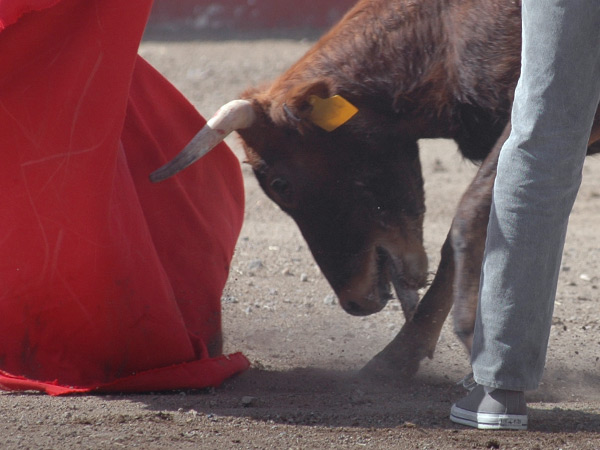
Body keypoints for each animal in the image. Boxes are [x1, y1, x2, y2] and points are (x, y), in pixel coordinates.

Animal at [149, 0, 600, 380]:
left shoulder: (541, 110)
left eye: (281, 184)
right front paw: (397, 359)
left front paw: (474, 337)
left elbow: (476, 209)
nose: (354, 302)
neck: (442, 31)